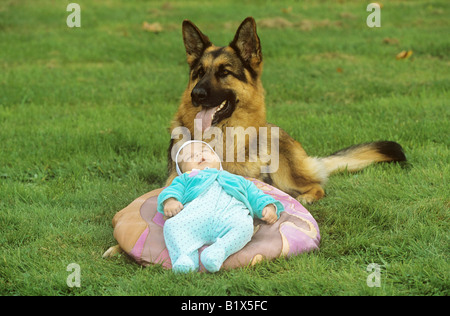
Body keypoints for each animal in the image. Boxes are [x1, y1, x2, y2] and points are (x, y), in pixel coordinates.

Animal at [167, 17, 406, 204]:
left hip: (284, 172)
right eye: (199, 72)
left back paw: (307, 197)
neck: (220, 140)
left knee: (317, 185)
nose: (196, 94)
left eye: (224, 72)